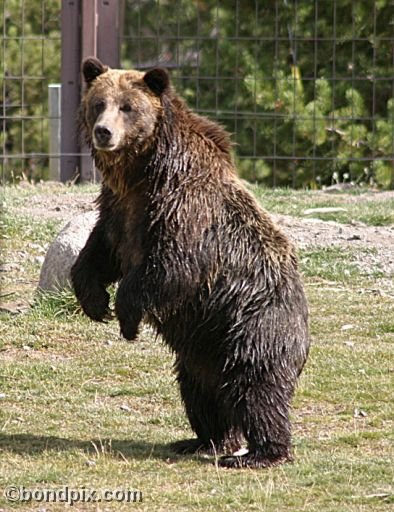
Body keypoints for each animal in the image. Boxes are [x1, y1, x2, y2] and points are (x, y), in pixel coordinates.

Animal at [71, 56, 310, 468]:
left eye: (127, 107)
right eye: (99, 103)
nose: (104, 132)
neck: (143, 171)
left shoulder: (184, 208)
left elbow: (173, 266)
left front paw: (126, 319)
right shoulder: (119, 209)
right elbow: (100, 251)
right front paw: (95, 302)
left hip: (254, 326)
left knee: (257, 385)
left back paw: (259, 452)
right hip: (201, 350)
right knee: (201, 391)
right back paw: (204, 440)